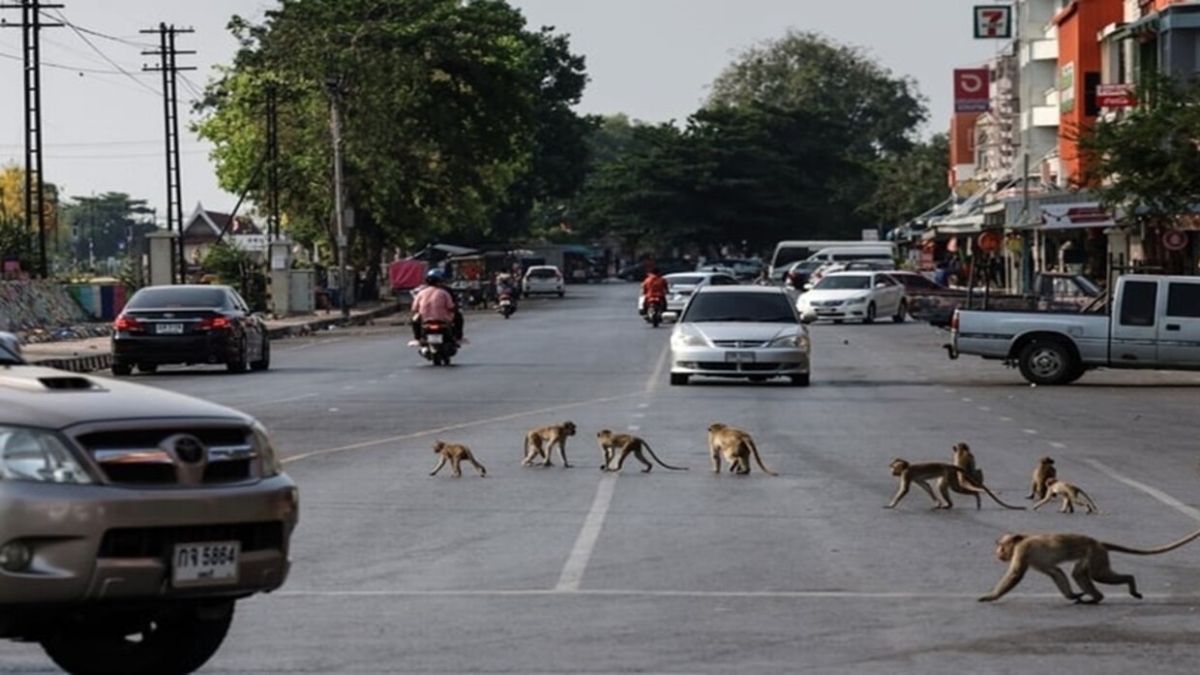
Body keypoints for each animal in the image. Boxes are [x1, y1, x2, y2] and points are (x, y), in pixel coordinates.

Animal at [888, 456, 1027, 509]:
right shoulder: (913, 477)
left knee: (955, 488)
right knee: (942, 486)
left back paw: (976, 496)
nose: (892, 472)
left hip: (949, 473)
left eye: (894, 468)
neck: (906, 467)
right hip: (948, 474)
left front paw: (892, 504)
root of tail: (950, 465)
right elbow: (926, 486)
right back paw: (948, 505)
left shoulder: (907, 474)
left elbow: (905, 490)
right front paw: (937, 502)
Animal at [979, 523, 1200, 600]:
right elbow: (1056, 572)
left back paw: (1129, 582)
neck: (1020, 541)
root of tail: (1098, 542)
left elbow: (1015, 574)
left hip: (1096, 554)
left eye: (1001, 546)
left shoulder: (1023, 551)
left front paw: (991, 596)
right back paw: (1096, 598)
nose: (997, 552)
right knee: (1079, 574)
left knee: (1098, 575)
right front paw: (1071, 595)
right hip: (1091, 554)